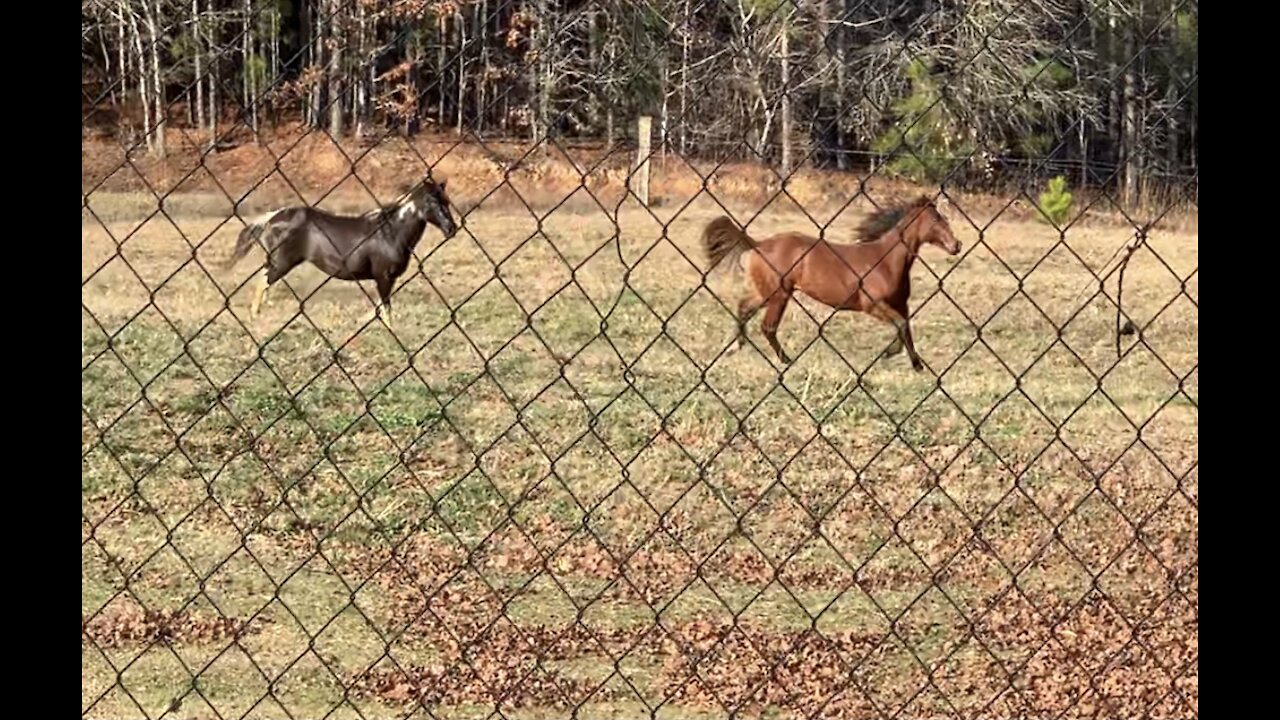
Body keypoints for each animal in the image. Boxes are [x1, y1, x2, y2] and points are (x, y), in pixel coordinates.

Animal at [701, 196, 962, 368]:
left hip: (766, 293)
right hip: (779, 295)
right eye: (936, 220)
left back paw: (736, 347)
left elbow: (906, 326)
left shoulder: (900, 304)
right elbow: (900, 325)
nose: (956, 245)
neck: (886, 261)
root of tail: (758, 244)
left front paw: (915, 363)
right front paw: (892, 354)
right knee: (768, 326)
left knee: (744, 307)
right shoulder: (871, 305)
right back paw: (786, 360)